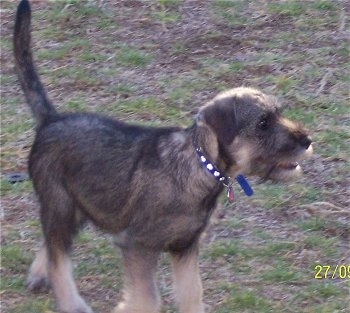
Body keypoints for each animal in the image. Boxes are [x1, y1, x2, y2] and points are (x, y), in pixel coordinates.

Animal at [14, 0, 314, 312]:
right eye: (263, 123)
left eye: (279, 114)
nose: (307, 141)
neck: (199, 166)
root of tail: (51, 120)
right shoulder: (138, 245)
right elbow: (147, 297)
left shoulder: (185, 248)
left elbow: (192, 293)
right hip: (60, 201)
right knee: (58, 255)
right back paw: (72, 302)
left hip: (85, 202)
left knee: (52, 243)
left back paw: (40, 275)